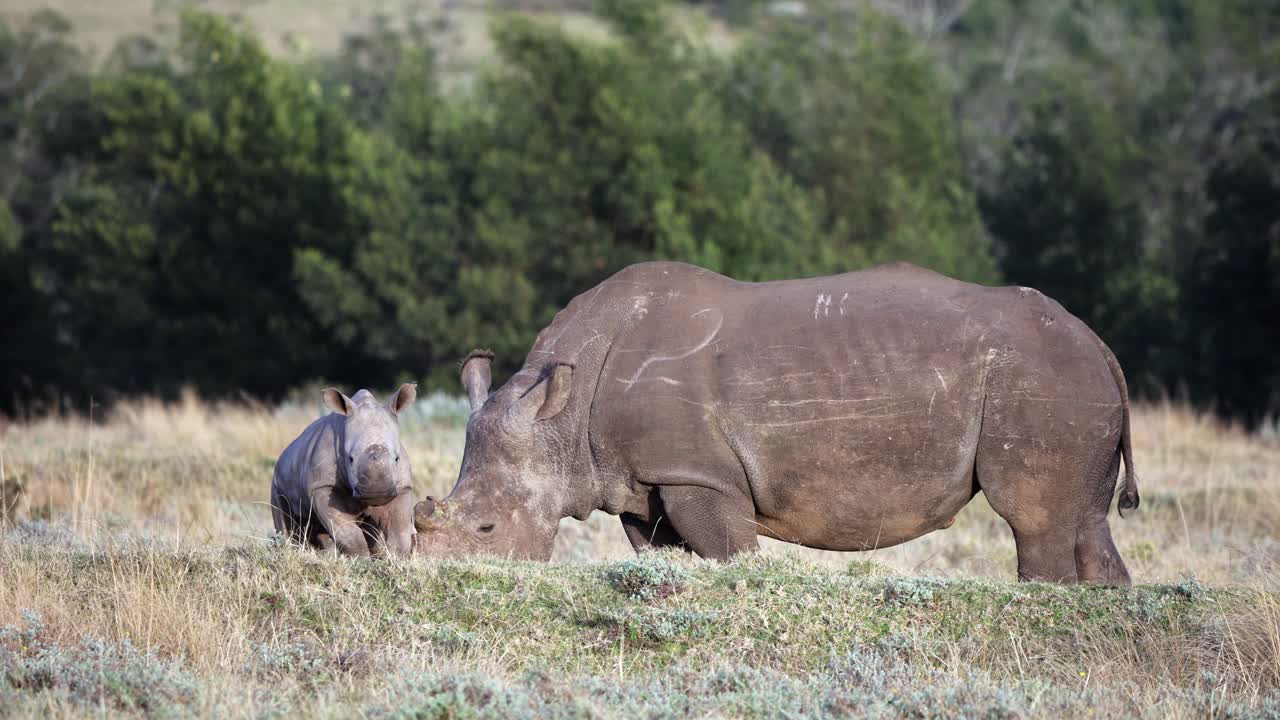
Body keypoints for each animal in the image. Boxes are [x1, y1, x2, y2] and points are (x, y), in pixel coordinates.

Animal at [272, 385, 418, 557]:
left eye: (397, 459)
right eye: (350, 459)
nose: (377, 492)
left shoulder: (402, 487)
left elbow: (399, 530)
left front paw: (396, 558)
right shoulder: (323, 486)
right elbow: (347, 532)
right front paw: (361, 560)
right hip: (277, 481)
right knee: (285, 523)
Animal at [414, 261, 1140, 583]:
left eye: (487, 528)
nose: (438, 581)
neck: (561, 414)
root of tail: (1100, 344)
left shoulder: (697, 475)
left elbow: (730, 550)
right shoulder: (643, 478)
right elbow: (664, 552)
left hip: (1039, 382)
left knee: (1034, 520)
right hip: (1073, 385)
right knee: (1084, 521)